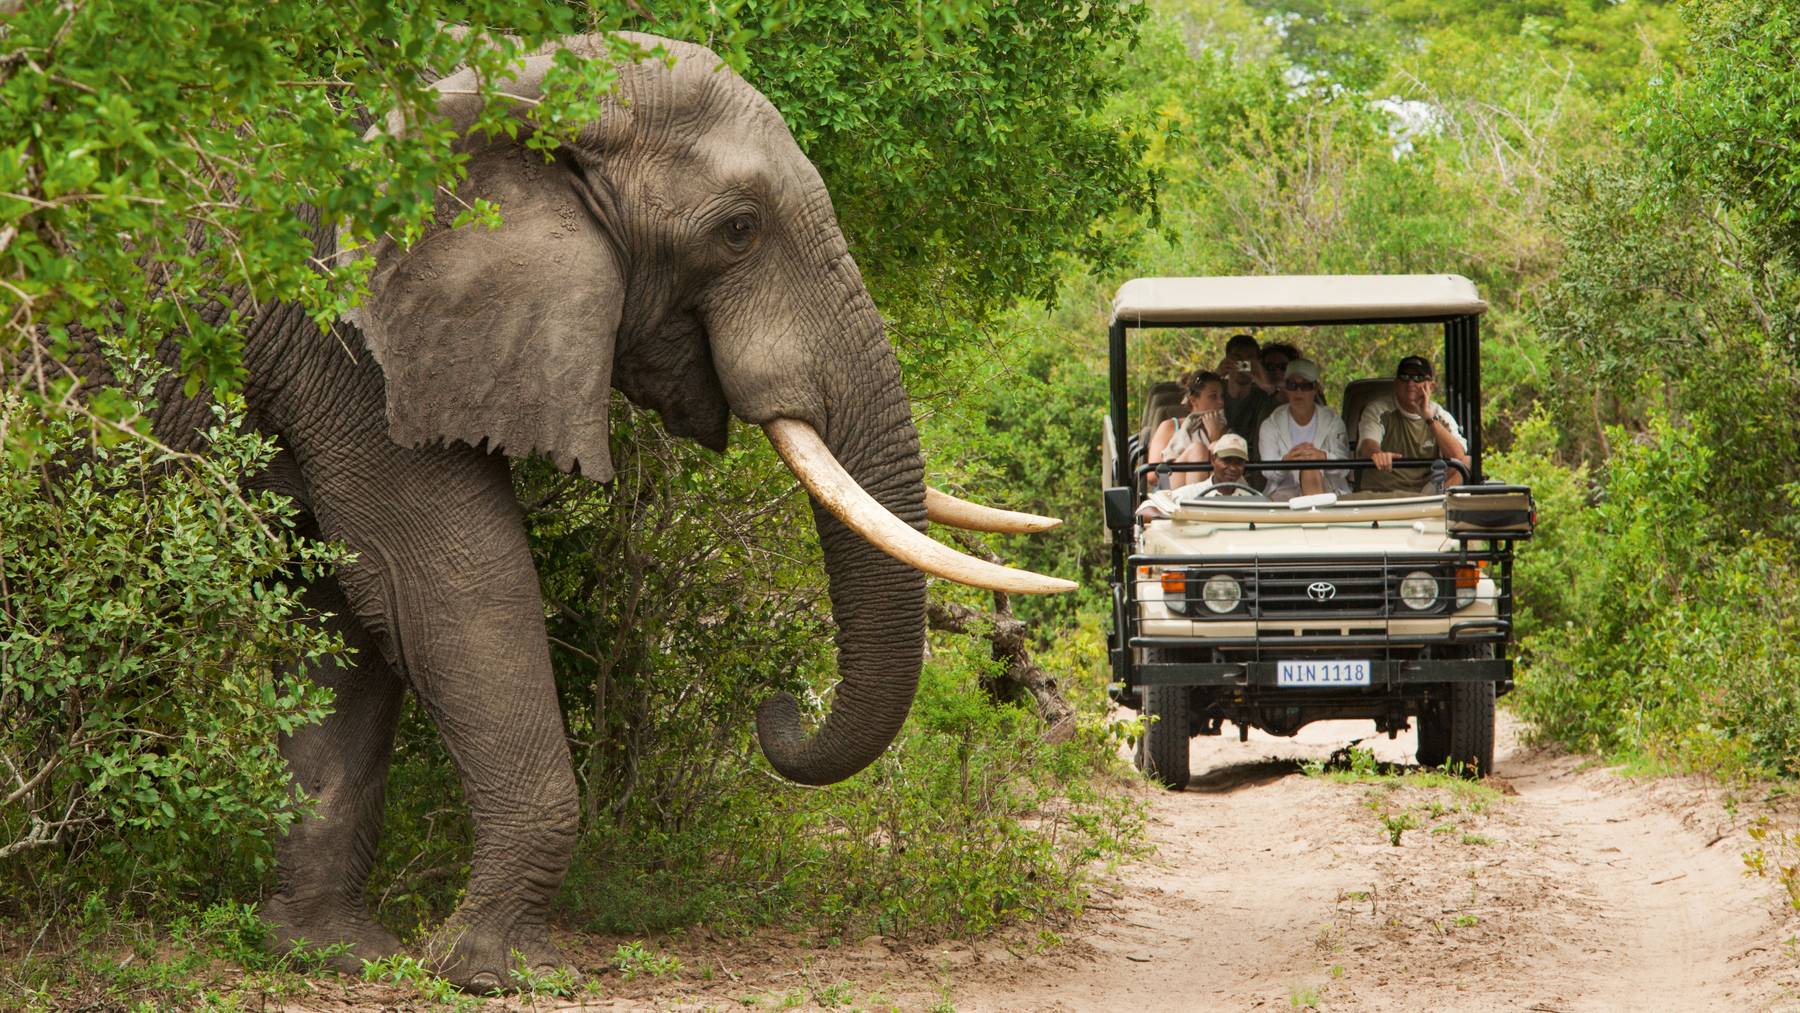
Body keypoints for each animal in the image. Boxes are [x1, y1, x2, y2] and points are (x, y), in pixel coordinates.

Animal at [126, 31, 1072, 993]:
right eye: (739, 231)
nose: (777, 707)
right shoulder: (346, 339)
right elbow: (449, 583)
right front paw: (493, 971)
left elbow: (353, 610)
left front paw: (334, 951)